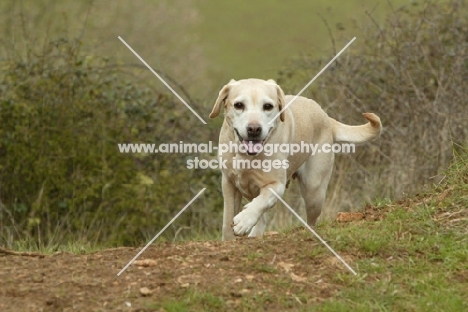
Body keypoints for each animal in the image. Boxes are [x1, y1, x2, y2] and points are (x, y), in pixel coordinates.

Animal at [210, 79, 382, 240]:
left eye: (268, 106)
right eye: (239, 105)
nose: (254, 129)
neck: (246, 156)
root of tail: (326, 117)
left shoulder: (276, 185)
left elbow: (263, 200)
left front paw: (244, 220)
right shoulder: (229, 184)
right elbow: (227, 219)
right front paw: (229, 238)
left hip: (314, 191)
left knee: (312, 220)